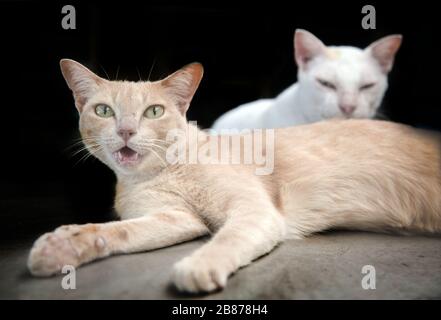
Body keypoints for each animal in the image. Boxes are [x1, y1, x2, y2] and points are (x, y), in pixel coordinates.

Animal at [28, 58, 440, 294]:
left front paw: (197, 267)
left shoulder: (253, 211)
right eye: (104, 110)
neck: (164, 172)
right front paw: (61, 247)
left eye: (153, 111)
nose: (127, 130)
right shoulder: (177, 217)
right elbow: (115, 231)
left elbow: (225, 239)